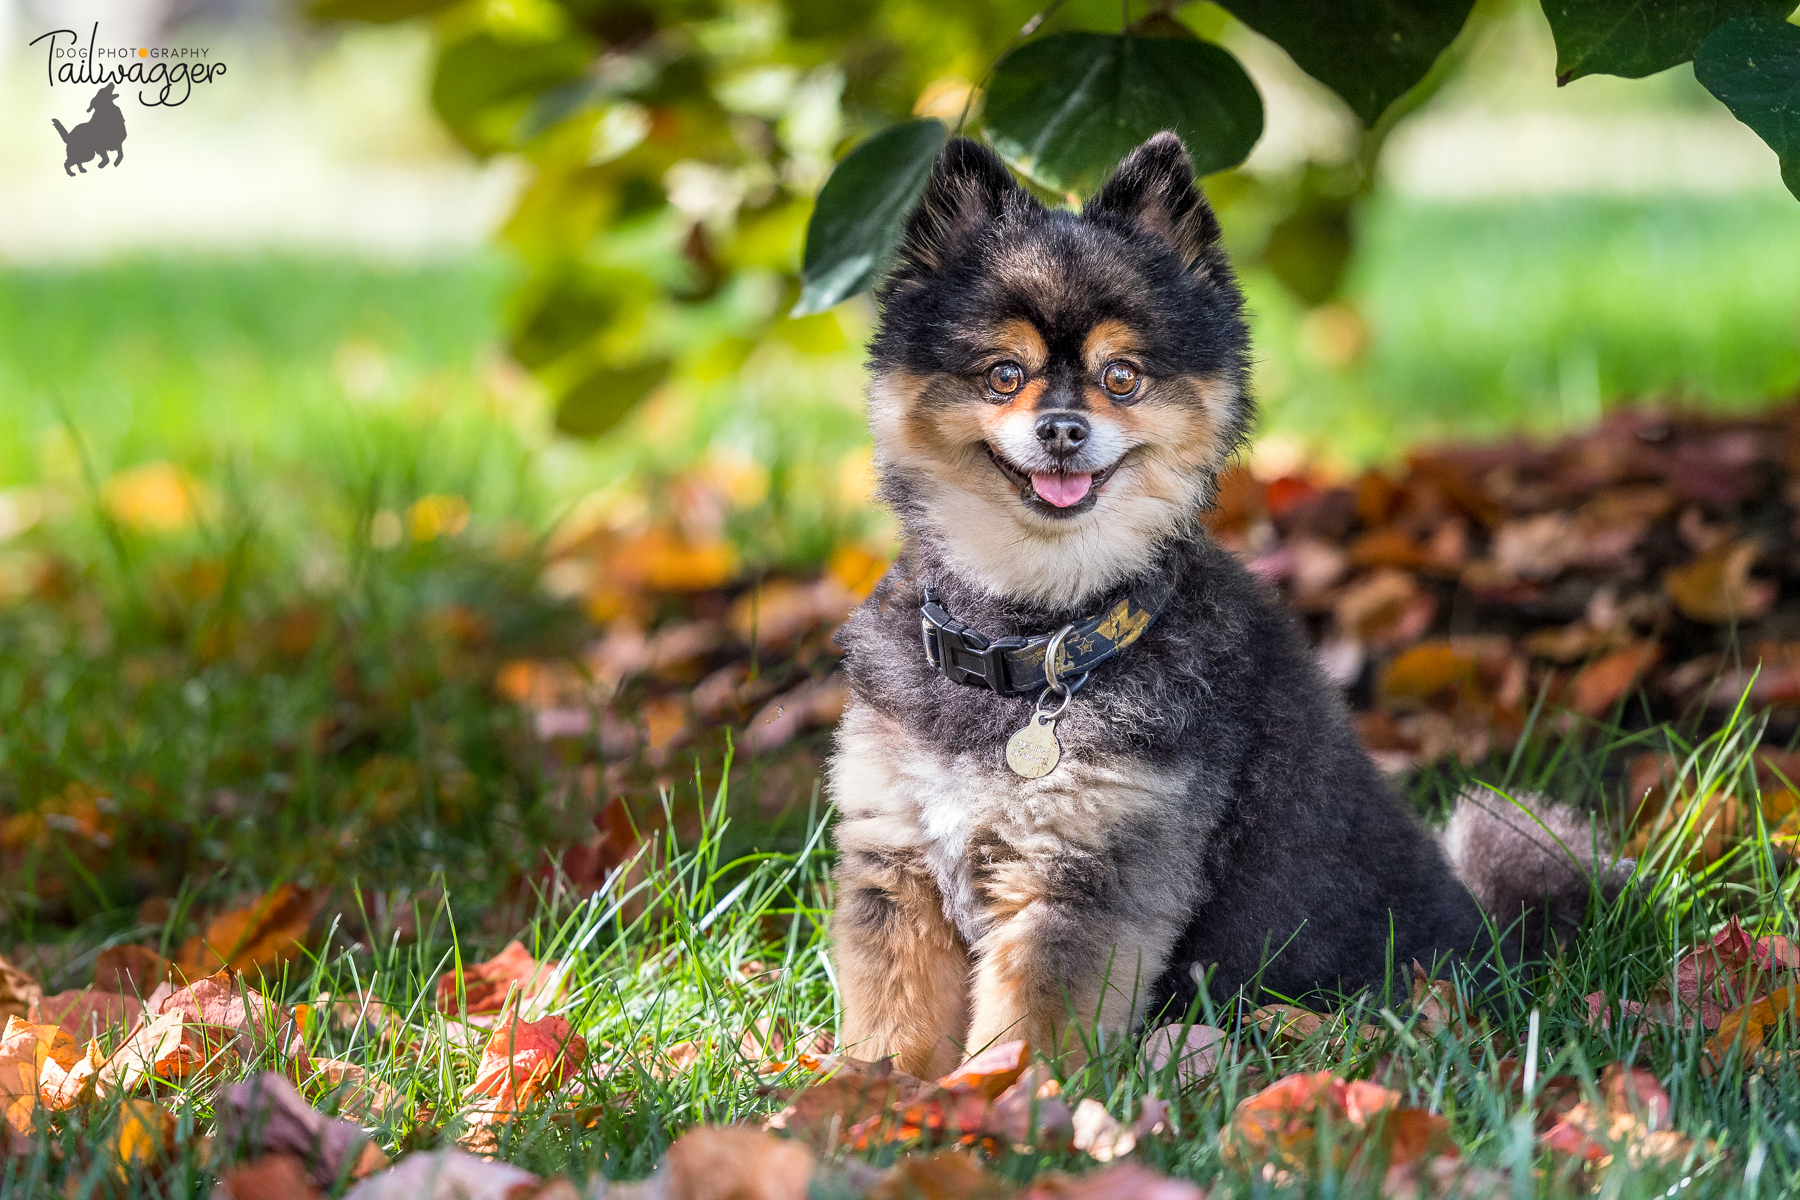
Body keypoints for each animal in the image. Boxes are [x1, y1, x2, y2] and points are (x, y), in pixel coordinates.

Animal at [824, 134, 1627, 1079]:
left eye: (1121, 378)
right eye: (1003, 374)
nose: (1062, 428)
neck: (1037, 638)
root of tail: (1498, 947)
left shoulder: (1086, 875)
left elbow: (1026, 1033)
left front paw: (1005, 1101)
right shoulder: (898, 861)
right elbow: (893, 1023)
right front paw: (868, 1095)